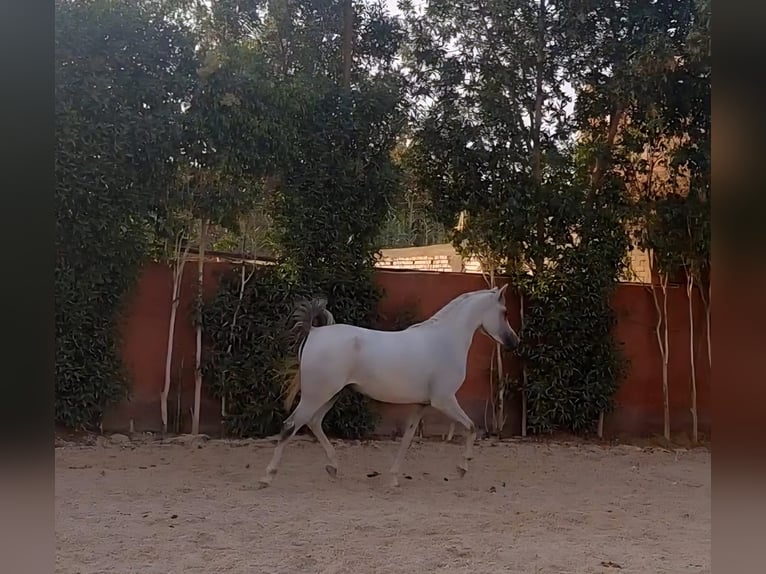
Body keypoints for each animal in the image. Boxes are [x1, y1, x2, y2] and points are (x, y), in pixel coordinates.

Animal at [257, 284, 520, 488]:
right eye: (505, 312)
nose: (514, 342)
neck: (445, 340)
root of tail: (314, 331)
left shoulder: (421, 405)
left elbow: (407, 440)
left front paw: (393, 478)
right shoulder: (444, 400)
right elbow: (471, 428)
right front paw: (461, 468)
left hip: (330, 395)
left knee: (313, 422)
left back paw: (332, 467)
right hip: (316, 395)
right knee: (290, 426)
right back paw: (267, 477)